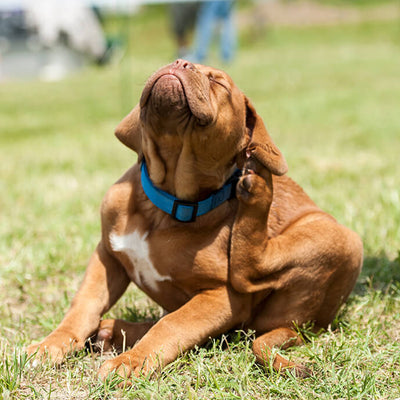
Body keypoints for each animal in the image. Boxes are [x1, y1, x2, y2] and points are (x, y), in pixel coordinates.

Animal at [25, 60, 362, 382]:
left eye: (218, 83)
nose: (180, 62)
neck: (164, 205)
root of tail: (304, 326)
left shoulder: (222, 298)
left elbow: (173, 325)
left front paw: (131, 362)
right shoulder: (107, 256)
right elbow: (83, 306)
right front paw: (50, 345)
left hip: (339, 238)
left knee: (249, 274)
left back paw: (259, 188)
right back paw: (113, 331)